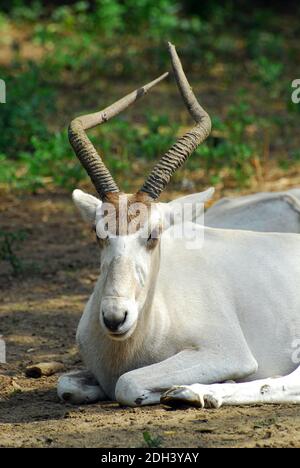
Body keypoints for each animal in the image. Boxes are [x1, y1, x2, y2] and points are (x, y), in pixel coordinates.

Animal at [57, 44, 300, 410]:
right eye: (98, 233)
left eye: (153, 235)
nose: (115, 317)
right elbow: (65, 385)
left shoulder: (226, 351)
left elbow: (127, 383)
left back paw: (196, 392)